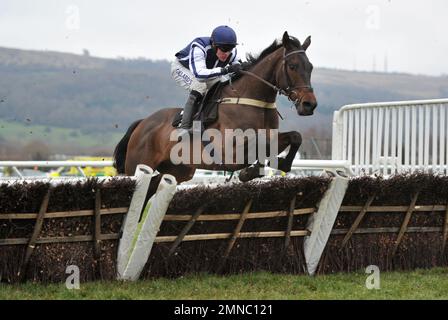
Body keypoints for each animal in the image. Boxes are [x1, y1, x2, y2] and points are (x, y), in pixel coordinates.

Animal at [114, 31, 316, 198]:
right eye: (292, 66)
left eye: (311, 67)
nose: (309, 104)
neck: (253, 100)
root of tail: (143, 123)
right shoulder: (228, 151)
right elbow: (262, 143)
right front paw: (250, 171)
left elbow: (294, 137)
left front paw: (279, 164)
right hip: (139, 167)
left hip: (176, 171)